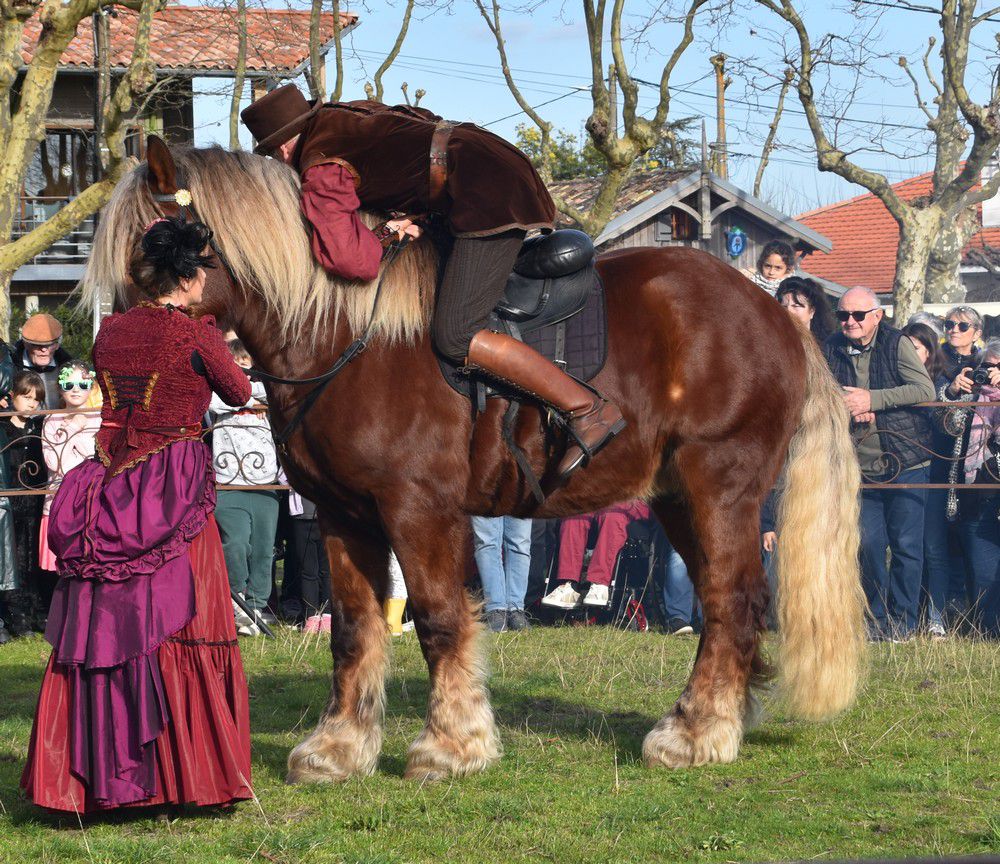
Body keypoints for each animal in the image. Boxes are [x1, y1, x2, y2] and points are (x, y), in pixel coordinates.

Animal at [82, 140, 868, 784]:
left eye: (156, 253)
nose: (108, 373)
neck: (347, 336)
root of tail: (775, 316)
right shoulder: (342, 515)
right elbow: (354, 630)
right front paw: (338, 749)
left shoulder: (418, 511)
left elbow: (437, 618)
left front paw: (451, 744)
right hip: (679, 499)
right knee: (729, 604)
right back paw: (719, 715)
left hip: (719, 489)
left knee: (730, 601)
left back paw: (698, 732)